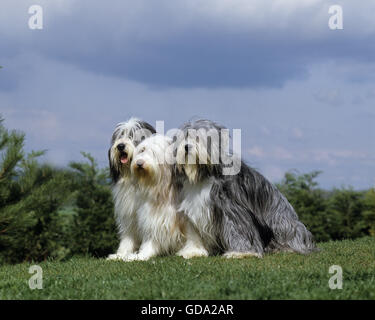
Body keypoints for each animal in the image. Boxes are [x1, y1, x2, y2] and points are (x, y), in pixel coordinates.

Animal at [173, 119, 318, 258]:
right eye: (185, 136)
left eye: (199, 137)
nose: (186, 147)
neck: (204, 173)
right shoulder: (193, 208)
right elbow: (194, 232)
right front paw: (193, 251)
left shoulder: (231, 207)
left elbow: (237, 227)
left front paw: (241, 252)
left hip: (281, 221)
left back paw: (287, 248)